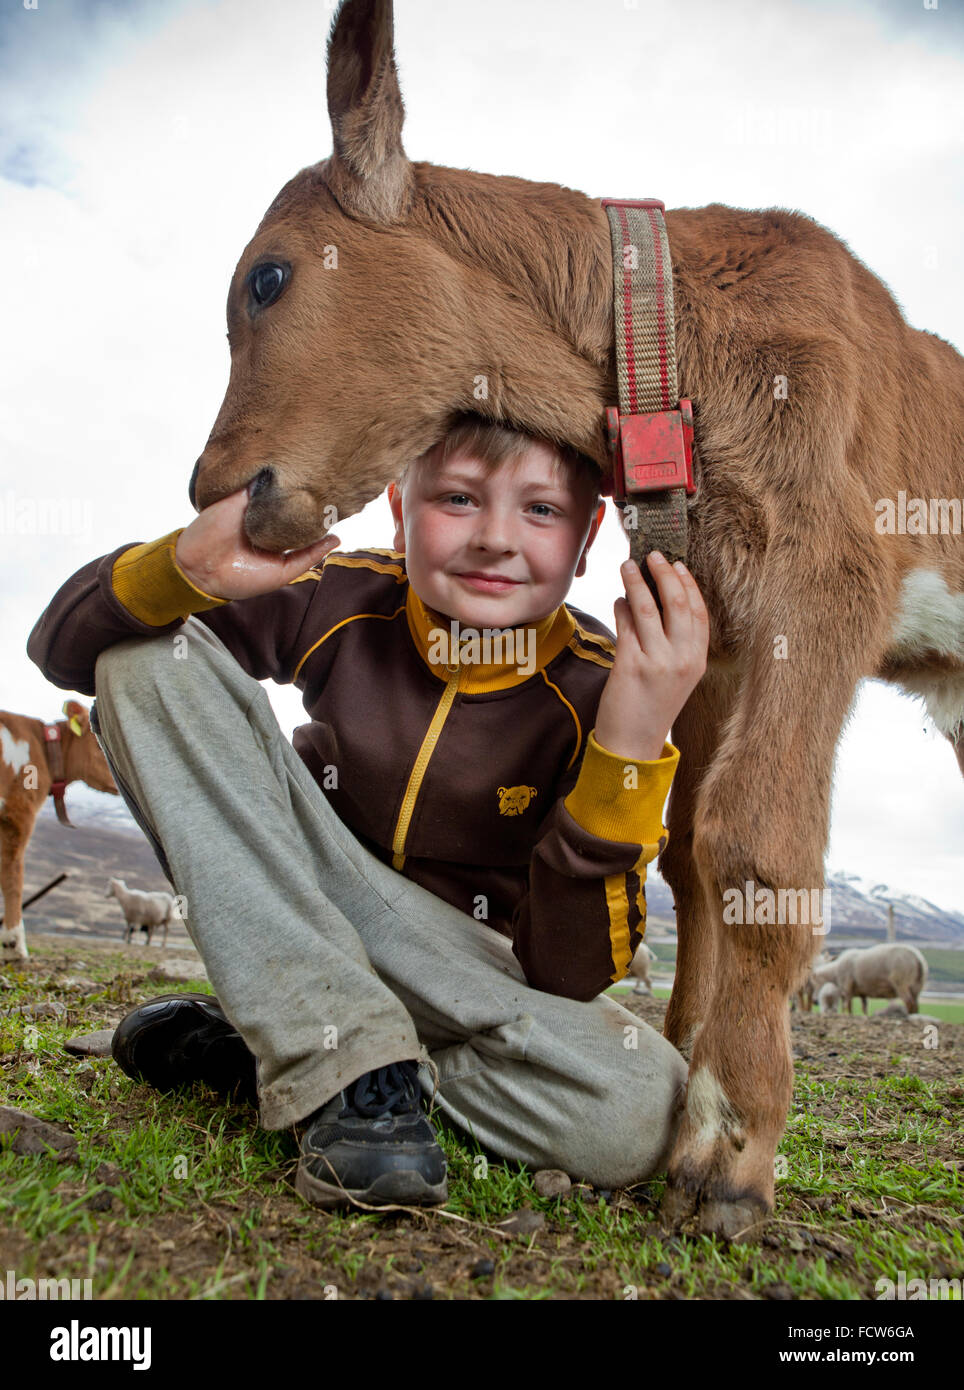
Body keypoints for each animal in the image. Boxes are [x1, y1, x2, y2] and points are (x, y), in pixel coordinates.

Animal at [183, 0, 964, 1239]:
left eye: (264, 279)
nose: (213, 487)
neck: (674, 349)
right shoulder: (711, 631)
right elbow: (688, 851)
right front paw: (686, 1085)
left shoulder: (821, 583)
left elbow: (756, 850)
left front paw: (729, 1154)